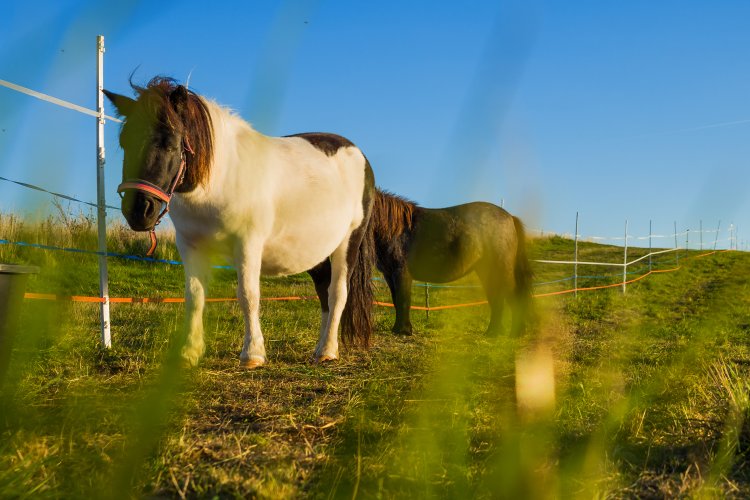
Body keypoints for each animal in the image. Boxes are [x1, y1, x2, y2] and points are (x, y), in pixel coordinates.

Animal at [105, 77, 376, 368]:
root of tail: (359, 156)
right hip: (318, 253)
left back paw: (327, 350)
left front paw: (252, 354)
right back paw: (320, 347)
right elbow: (195, 296)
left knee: (337, 293)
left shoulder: (247, 244)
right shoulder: (190, 246)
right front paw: (189, 352)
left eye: (170, 143)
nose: (138, 211)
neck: (220, 178)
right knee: (324, 293)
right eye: (124, 142)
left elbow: (248, 295)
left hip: (347, 244)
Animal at [374, 190, 532, 336]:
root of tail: (510, 217)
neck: (395, 228)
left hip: (502, 270)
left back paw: (515, 333)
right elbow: (396, 300)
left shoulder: (401, 273)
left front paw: (403, 330)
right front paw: (398, 329)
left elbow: (403, 300)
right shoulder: (389, 275)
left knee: (512, 296)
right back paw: (493, 333)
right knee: (496, 299)